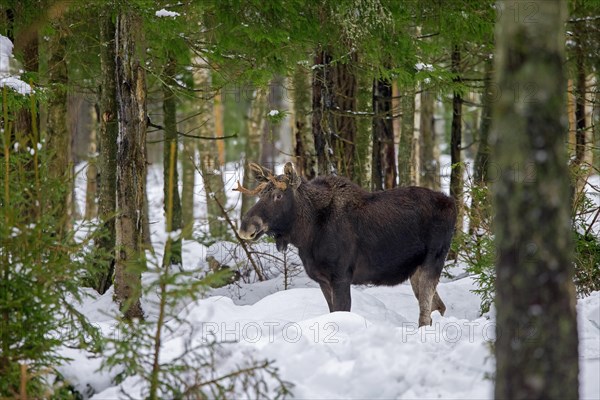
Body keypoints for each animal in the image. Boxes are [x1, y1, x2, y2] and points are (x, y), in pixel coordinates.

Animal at [237, 162, 458, 328]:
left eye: (278, 195)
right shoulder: (323, 279)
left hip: (434, 259)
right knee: (439, 306)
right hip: (415, 270)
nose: (245, 226)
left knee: (426, 313)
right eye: (260, 194)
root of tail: (453, 204)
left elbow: (341, 311)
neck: (306, 234)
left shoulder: (341, 276)